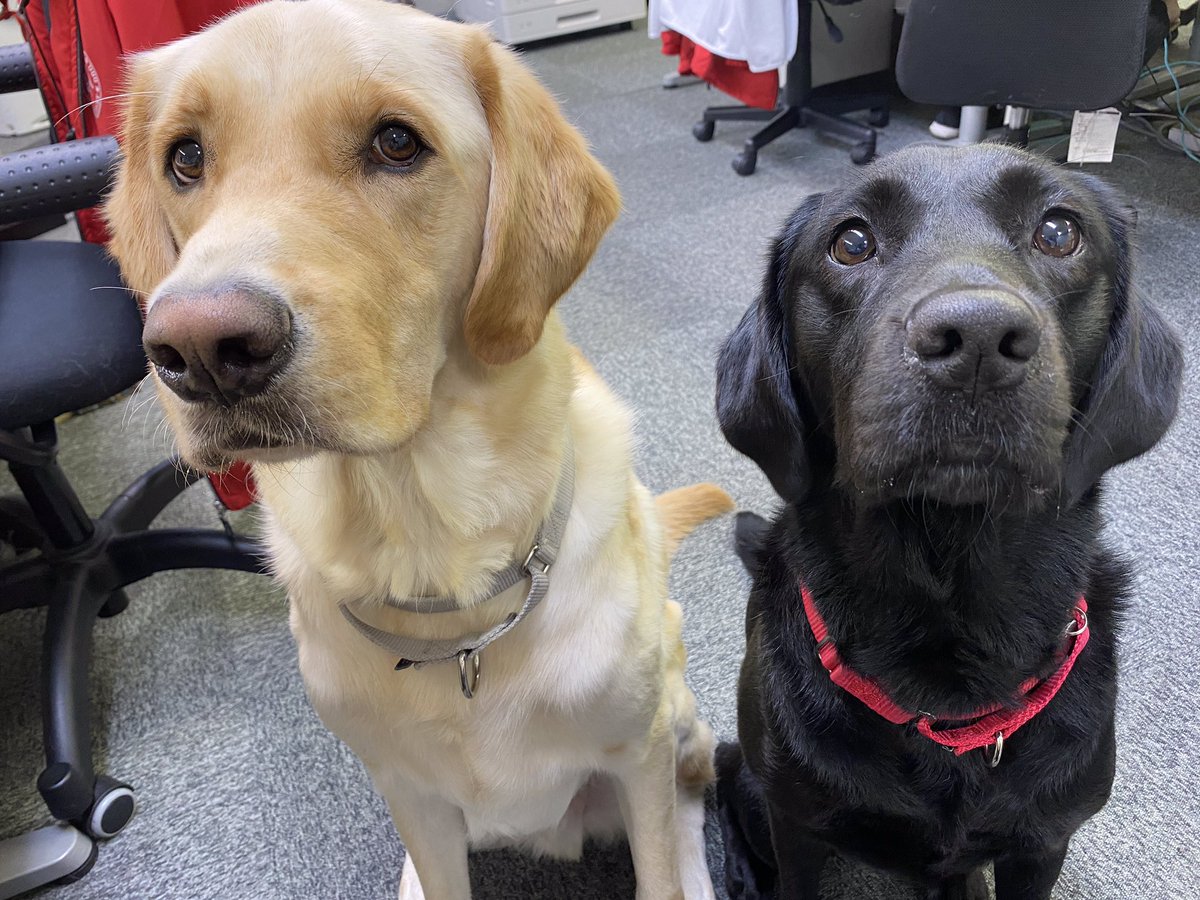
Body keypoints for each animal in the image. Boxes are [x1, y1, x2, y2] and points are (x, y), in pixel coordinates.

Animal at [105, 1, 729, 900]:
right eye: (184, 157)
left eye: (397, 143)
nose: (198, 350)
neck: (437, 566)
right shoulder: (412, 795)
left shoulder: (635, 753)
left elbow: (658, 861)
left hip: (675, 725)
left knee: (686, 810)